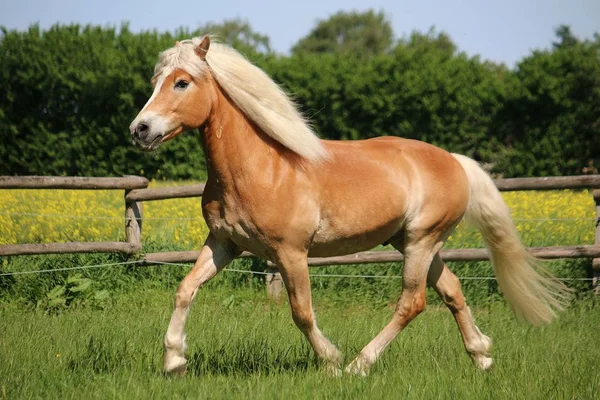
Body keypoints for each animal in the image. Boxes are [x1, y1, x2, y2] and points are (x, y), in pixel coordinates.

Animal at [129, 36, 568, 376]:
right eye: (155, 81)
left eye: (182, 82)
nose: (140, 129)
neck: (260, 169)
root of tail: (454, 161)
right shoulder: (224, 244)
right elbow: (184, 290)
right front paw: (174, 361)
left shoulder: (290, 253)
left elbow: (302, 312)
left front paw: (331, 361)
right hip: (412, 242)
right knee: (452, 291)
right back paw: (481, 357)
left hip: (422, 241)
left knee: (412, 303)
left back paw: (360, 364)